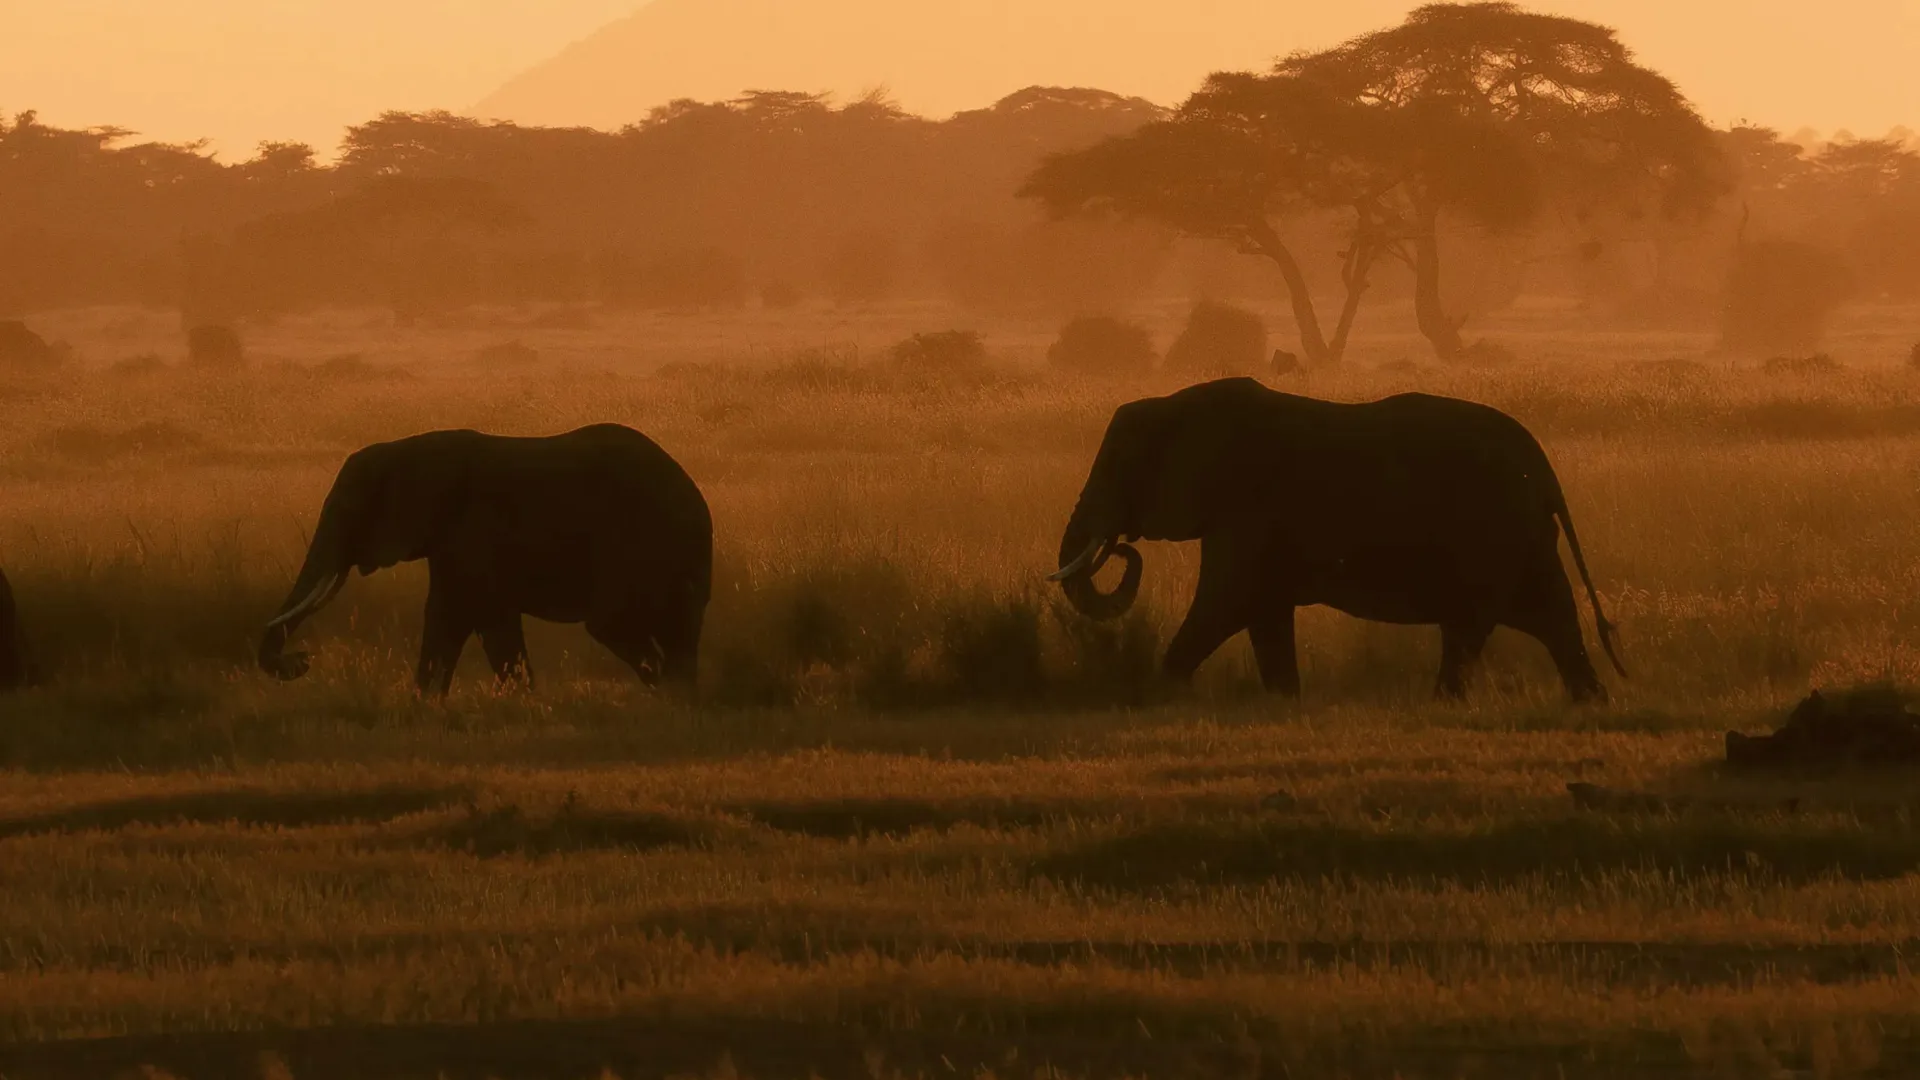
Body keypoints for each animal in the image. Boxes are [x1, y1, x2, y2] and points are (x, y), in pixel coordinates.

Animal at [259, 424, 712, 696]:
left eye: (348, 510)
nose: (301, 660)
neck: (409, 448)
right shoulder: (449, 540)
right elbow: (445, 617)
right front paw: (425, 707)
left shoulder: (474, 531)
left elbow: (488, 617)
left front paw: (527, 704)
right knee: (678, 627)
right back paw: (679, 696)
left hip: (638, 542)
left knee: (610, 622)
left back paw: (664, 687)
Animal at [1050, 378, 1625, 702]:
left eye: (1119, 466)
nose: (1118, 546)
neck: (1178, 403)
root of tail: (1544, 466)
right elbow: (1263, 614)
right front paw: (1285, 703)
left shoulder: (1246, 509)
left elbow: (1225, 603)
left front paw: (1161, 692)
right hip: (1521, 535)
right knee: (1549, 614)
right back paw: (1591, 700)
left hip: (1491, 530)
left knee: (1471, 623)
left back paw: (1443, 703)